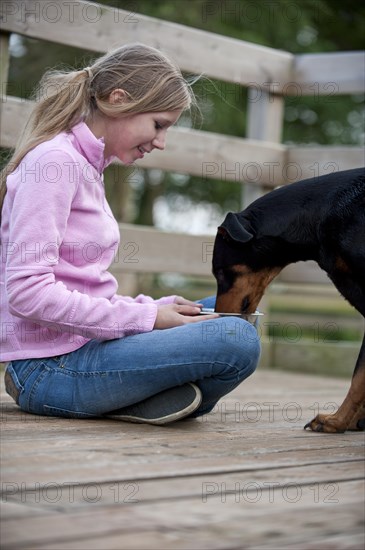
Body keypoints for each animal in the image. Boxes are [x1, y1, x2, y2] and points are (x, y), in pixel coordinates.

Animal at [212, 166, 362, 434]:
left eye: (220, 272)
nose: (220, 315)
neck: (320, 215)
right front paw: (352, 420)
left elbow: (358, 376)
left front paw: (337, 421)